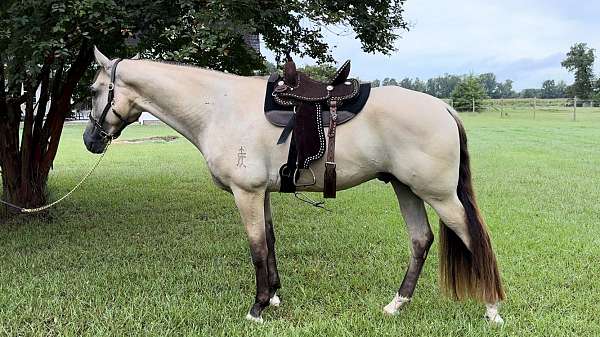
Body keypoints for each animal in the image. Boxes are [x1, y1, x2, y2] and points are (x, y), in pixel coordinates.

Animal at [84, 47, 504, 322]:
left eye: (93, 91)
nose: (90, 140)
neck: (218, 106)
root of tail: (442, 106)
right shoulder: (262, 193)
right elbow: (269, 242)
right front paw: (273, 297)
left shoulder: (247, 194)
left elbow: (256, 248)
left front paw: (256, 307)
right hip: (406, 189)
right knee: (421, 241)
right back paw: (397, 304)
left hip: (439, 195)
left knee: (473, 236)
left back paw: (492, 308)